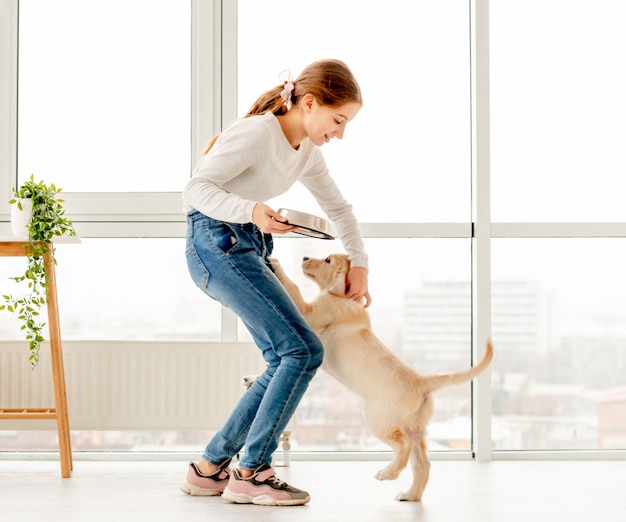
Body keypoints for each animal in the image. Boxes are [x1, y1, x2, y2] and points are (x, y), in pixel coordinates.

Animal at [268, 252, 492, 500]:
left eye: (327, 260)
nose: (305, 257)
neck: (344, 298)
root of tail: (421, 382)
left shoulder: (311, 312)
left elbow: (295, 289)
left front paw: (277, 266)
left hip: (378, 420)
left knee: (403, 446)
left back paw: (388, 473)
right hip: (414, 427)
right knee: (422, 464)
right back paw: (409, 494)